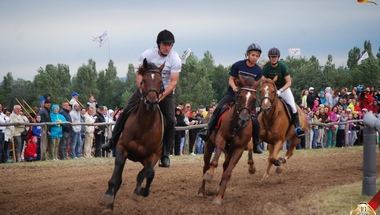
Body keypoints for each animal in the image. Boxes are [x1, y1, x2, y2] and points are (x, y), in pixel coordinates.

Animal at [101, 58, 165, 212]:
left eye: (160, 81)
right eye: (144, 80)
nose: (151, 101)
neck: (144, 126)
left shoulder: (153, 155)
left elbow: (149, 173)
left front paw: (141, 192)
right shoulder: (121, 148)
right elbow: (116, 177)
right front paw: (108, 196)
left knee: (143, 174)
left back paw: (137, 192)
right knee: (120, 180)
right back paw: (110, 206)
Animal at [197, 75, 260, 205]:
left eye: (254, 99)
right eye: (240, 96)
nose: (243, 119)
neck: (236, 125)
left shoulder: (239, 149)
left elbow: (227, 173)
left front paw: (219, 196)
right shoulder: (221, 139)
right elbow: (214, 161)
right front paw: (210, 174)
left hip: (229, 151)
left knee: (225, 166)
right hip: (209, 145)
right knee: (205, 165)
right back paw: (201, 190)